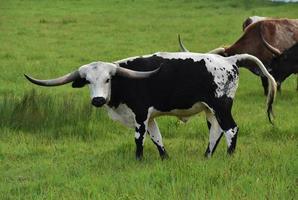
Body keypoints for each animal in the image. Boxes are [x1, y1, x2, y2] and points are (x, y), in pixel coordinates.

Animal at [24, 52, 276, 160]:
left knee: (231, 129)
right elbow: (157, 137)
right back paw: (207, 156)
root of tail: (229, 59)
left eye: (108, 79)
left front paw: (138, 160)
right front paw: (165, 158)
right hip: (209, 109)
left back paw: (229, 156)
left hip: (221, 106)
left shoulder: (140, 115)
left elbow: (140, 139)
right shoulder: (150, 117)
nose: (97, 100)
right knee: (216, 131)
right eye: (87, 81)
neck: (124, 82)